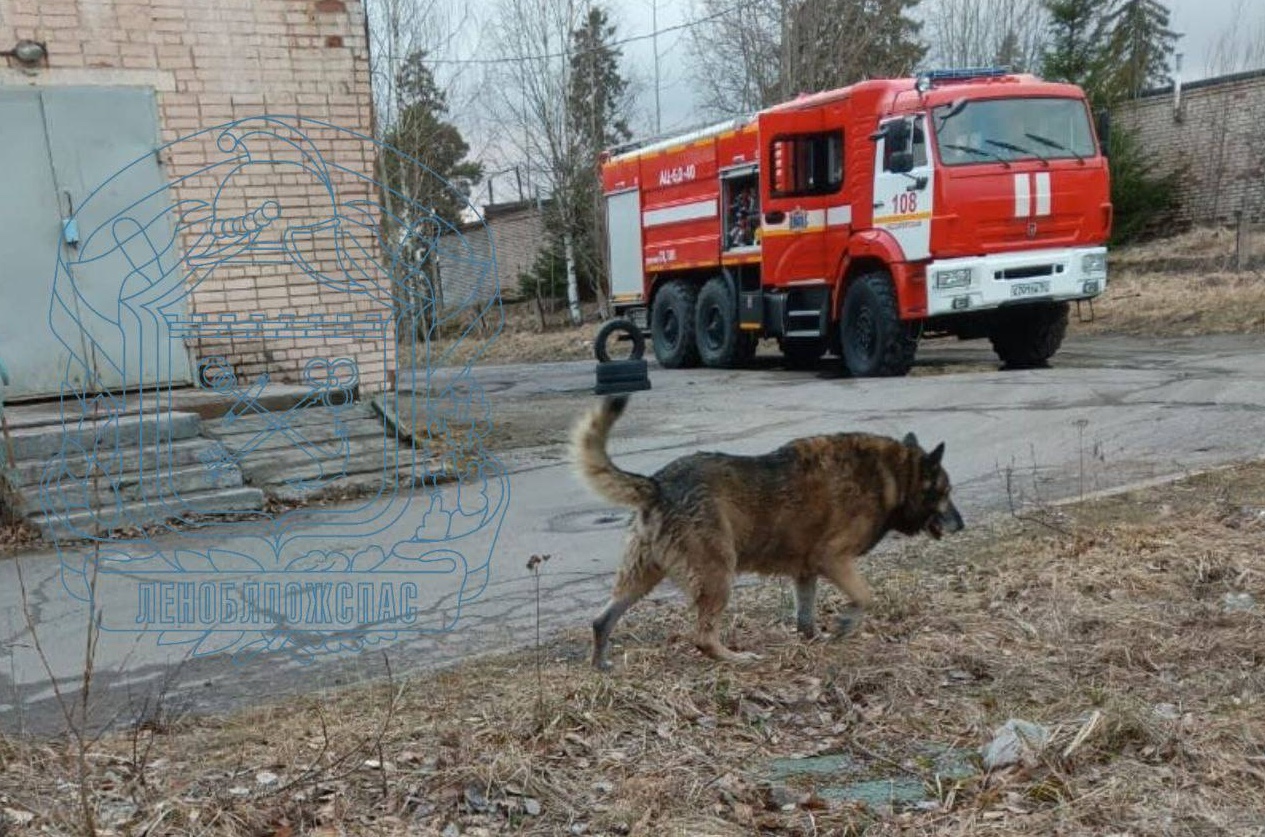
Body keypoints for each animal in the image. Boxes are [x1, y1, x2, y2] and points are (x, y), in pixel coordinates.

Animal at [569, 397, 961, 672]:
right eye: (945, 492)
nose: (962, 524)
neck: (892, 476)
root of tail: (657, 484)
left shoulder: (807, 572)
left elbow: (805, 618)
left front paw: (816, 638)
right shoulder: (834, 560)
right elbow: (866, 597)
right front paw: (847, 623)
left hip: (642, 577)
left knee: (601, 621)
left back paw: (600, 665)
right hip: (718, 575)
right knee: (702, 638)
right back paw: (735, 658)